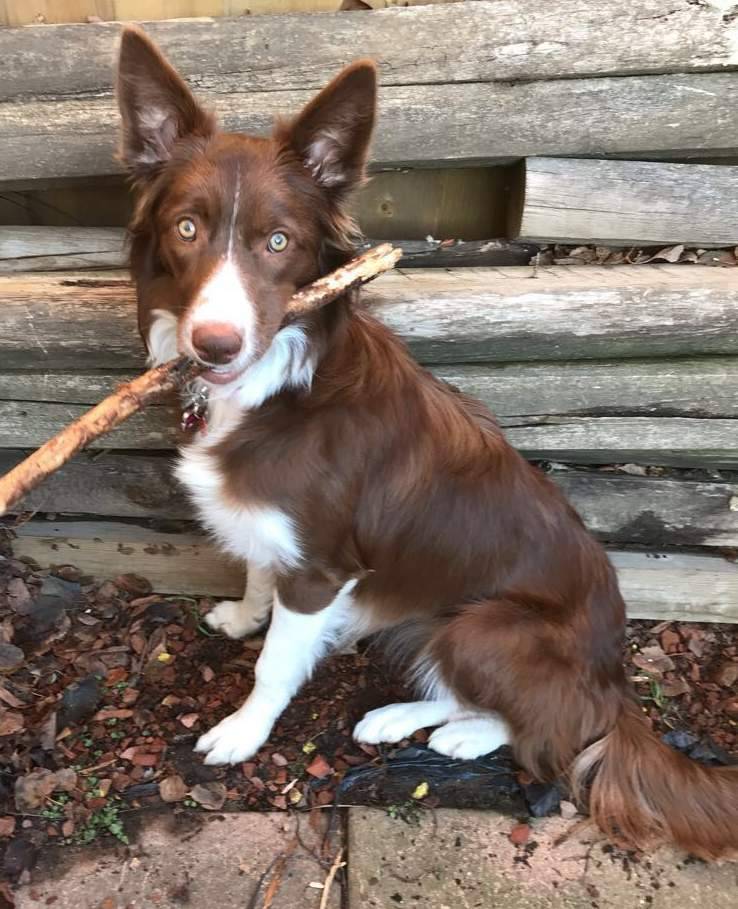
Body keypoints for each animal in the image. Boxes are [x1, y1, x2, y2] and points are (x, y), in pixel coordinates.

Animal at [116, 28, 736, 860]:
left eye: (278, 241)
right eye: (186, 228)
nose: (215, 344)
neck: (278, 384)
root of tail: (616, 686)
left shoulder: (324, 566)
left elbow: (277, 662)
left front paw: (243, 729)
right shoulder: (279, 536)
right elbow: (255, 567)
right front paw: (245, 613)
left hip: (485, 623)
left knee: (543, 730)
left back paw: (445, 732)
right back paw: (400, 717)